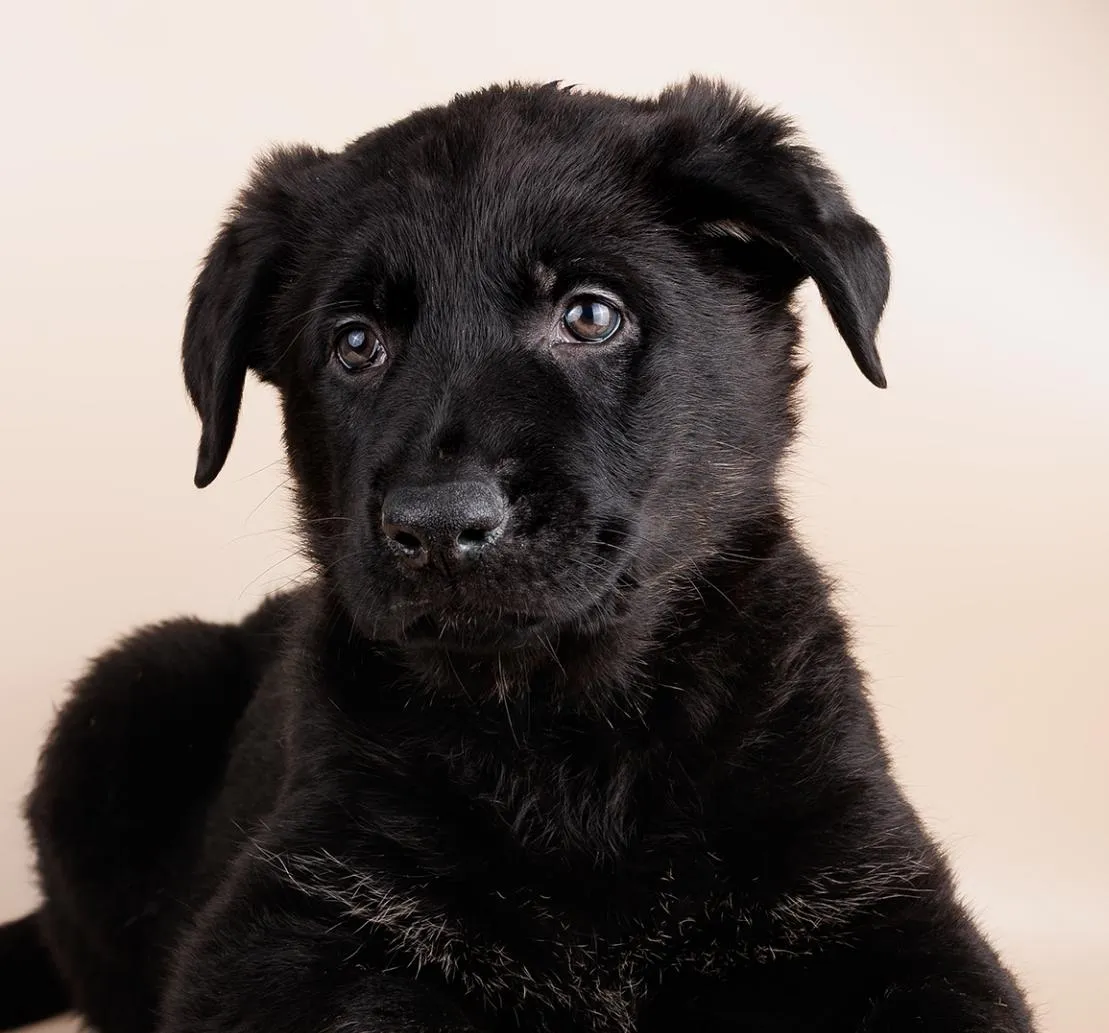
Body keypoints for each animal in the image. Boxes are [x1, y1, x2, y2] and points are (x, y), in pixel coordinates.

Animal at [0, 79, 1035, 1033]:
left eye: (589, 315)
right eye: (355, 343)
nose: (438, 524)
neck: (569, 741)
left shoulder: (879, 900)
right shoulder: (282, 926)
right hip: (131, 682)